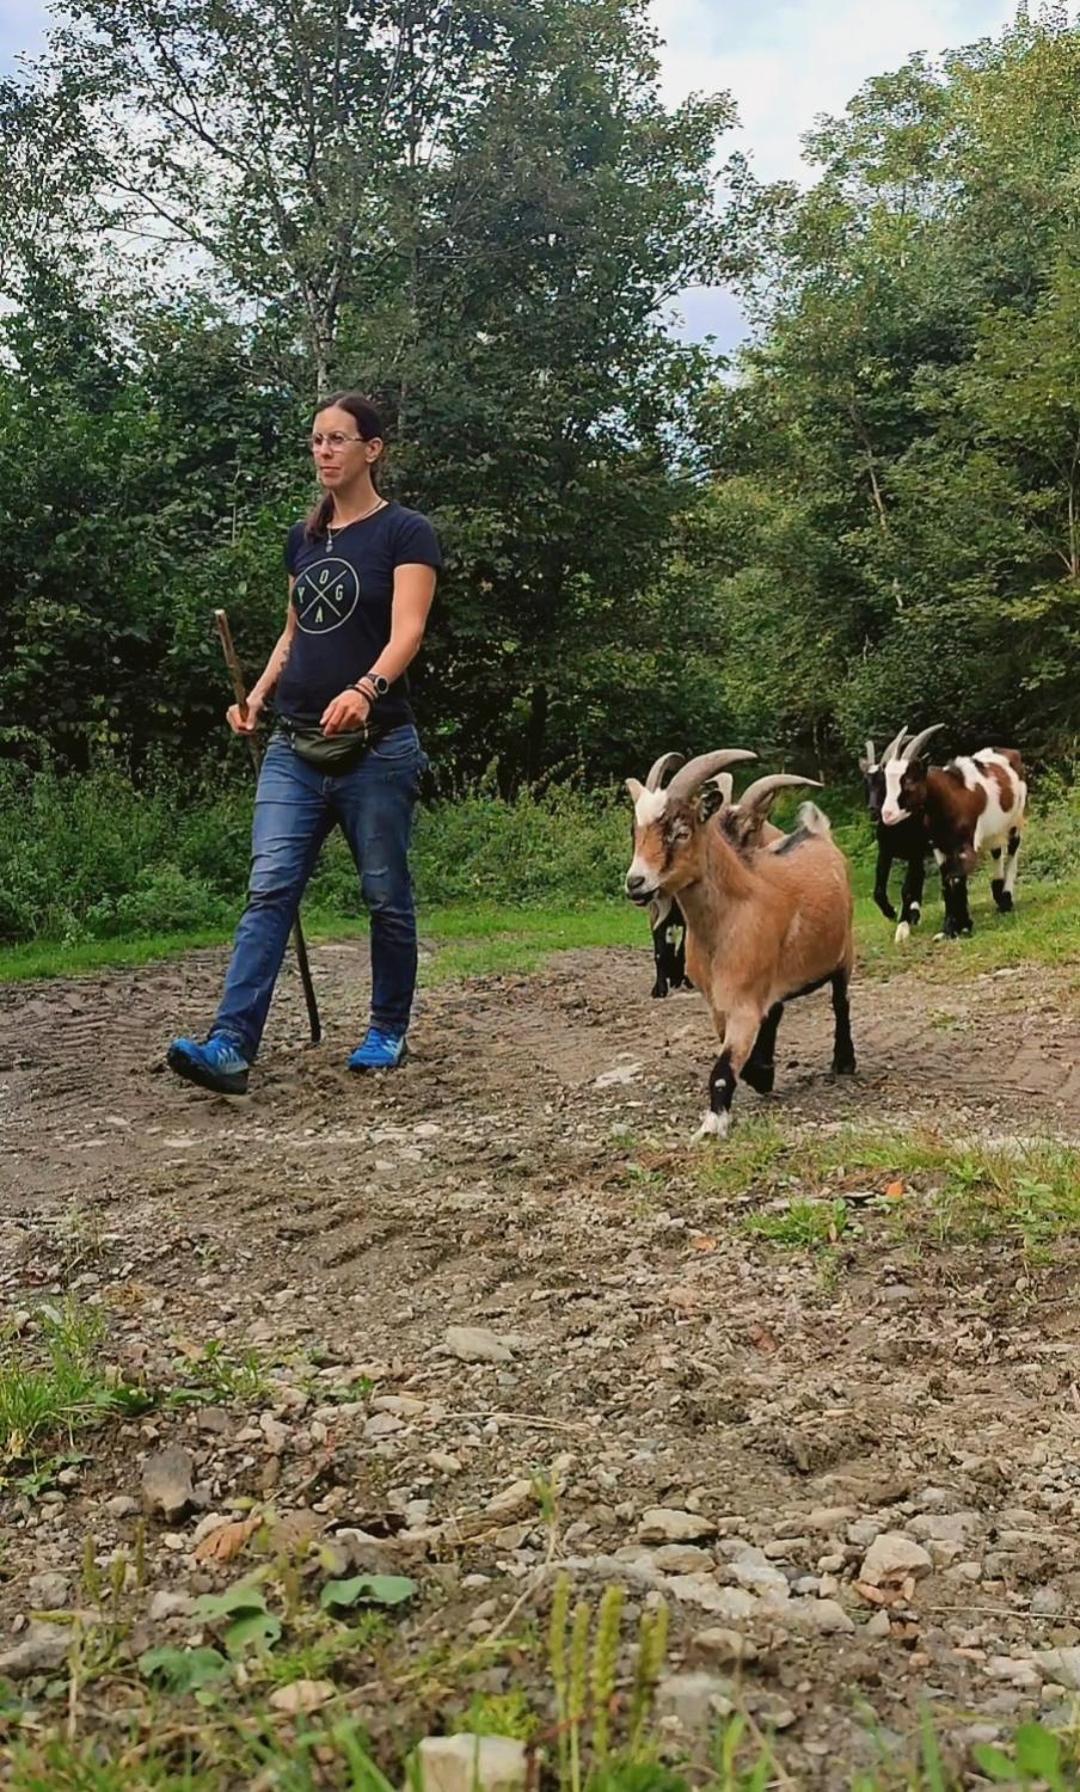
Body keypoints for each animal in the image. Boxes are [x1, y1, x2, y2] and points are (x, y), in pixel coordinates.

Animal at [619, 749, 856, 1139]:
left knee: (841, 1002)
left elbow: (722, 1070)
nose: (636, 882)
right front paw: (763, 1074)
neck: (731, 914)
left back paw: (845, 1061)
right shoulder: (719, 1003)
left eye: (681, 832)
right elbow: (739, 1059)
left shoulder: (743, 1000)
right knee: (778, 1012)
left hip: (845, 952)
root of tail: (816, 832)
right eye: (635, 831)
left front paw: (713, 1123)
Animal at [877, 720, 1031, 939]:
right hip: (992, 831)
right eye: (886, 783)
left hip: (1015, 820)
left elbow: (955, 878)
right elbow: (946, 881)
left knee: (1013, 849)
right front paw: (955, 926)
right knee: (996, 850)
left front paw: (957, 927)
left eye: (909, 781)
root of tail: (1011, 752)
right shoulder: (940, 847)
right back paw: (998, 892)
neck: (949, 798)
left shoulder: (965, 845)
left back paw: (1006, 899)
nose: (887, 814)